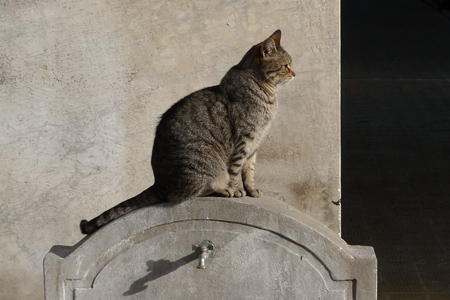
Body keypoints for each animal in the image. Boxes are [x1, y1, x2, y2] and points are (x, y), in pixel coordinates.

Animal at [80, 29, 296, 233]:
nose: (295, 73)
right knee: (180, 195)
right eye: (286, 65)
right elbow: (235, 171)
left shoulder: (253, 145)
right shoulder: (243, 141)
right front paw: (236, 190)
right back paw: (222, 190)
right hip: (208, 157)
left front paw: (251, 189)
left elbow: (249, 172)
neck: (266, 91)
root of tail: (158, 182)